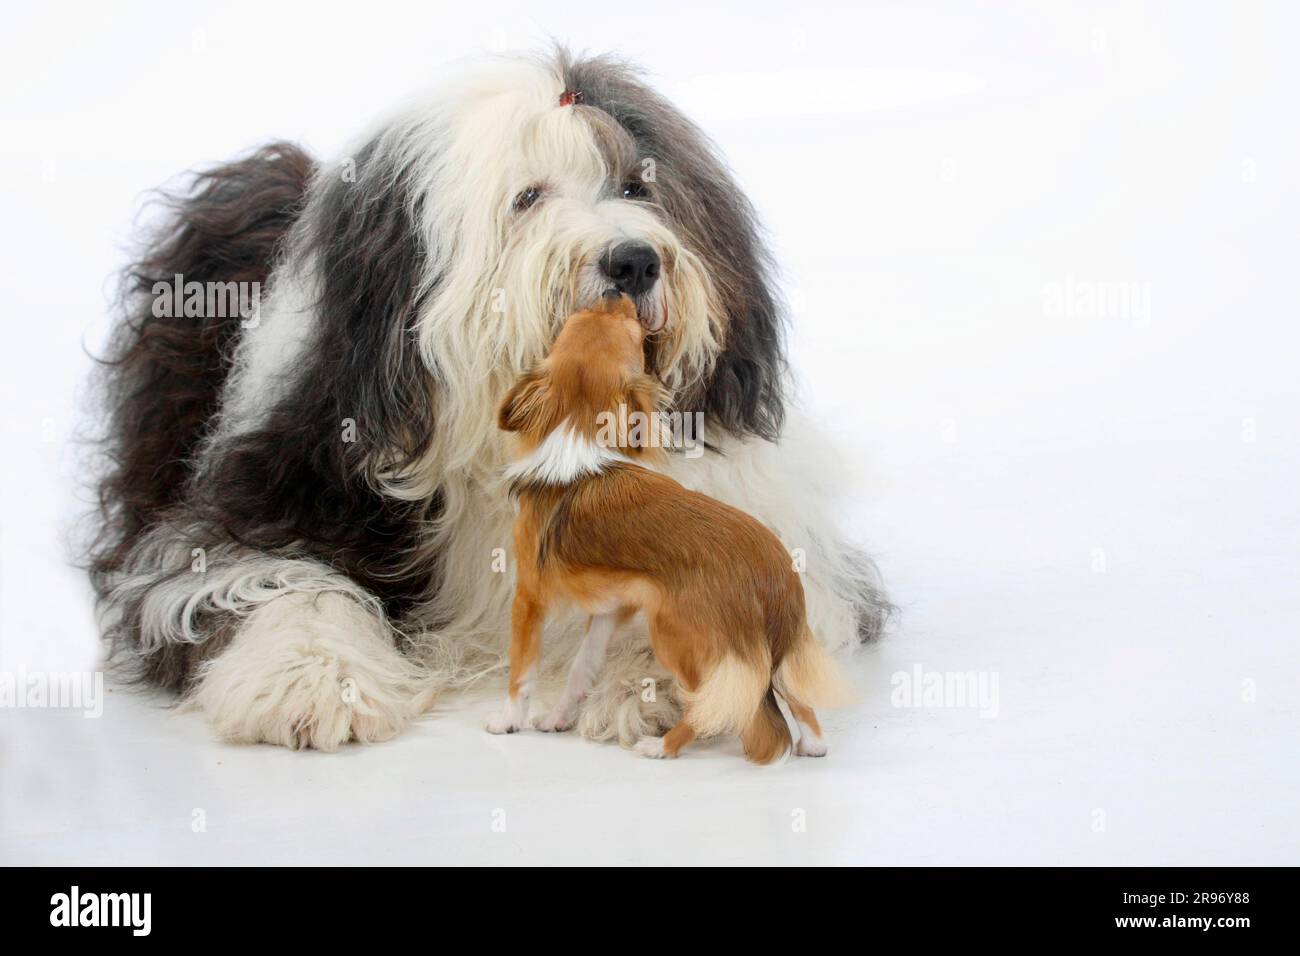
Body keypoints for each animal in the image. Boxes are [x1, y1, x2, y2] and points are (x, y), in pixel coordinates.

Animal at [488, 291, 852, 764]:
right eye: (587, 319)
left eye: (626, 329)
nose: (615, 292)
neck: (581, 443)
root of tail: (773, 580)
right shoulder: (610, 608)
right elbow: (582, 668)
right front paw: (558, 718)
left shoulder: (529, 598)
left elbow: (521, 672)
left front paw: (508, 720)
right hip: (778, 647)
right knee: (797, 697)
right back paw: (812, 743)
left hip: (675, 636)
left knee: (710, 704)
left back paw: (660, 746)